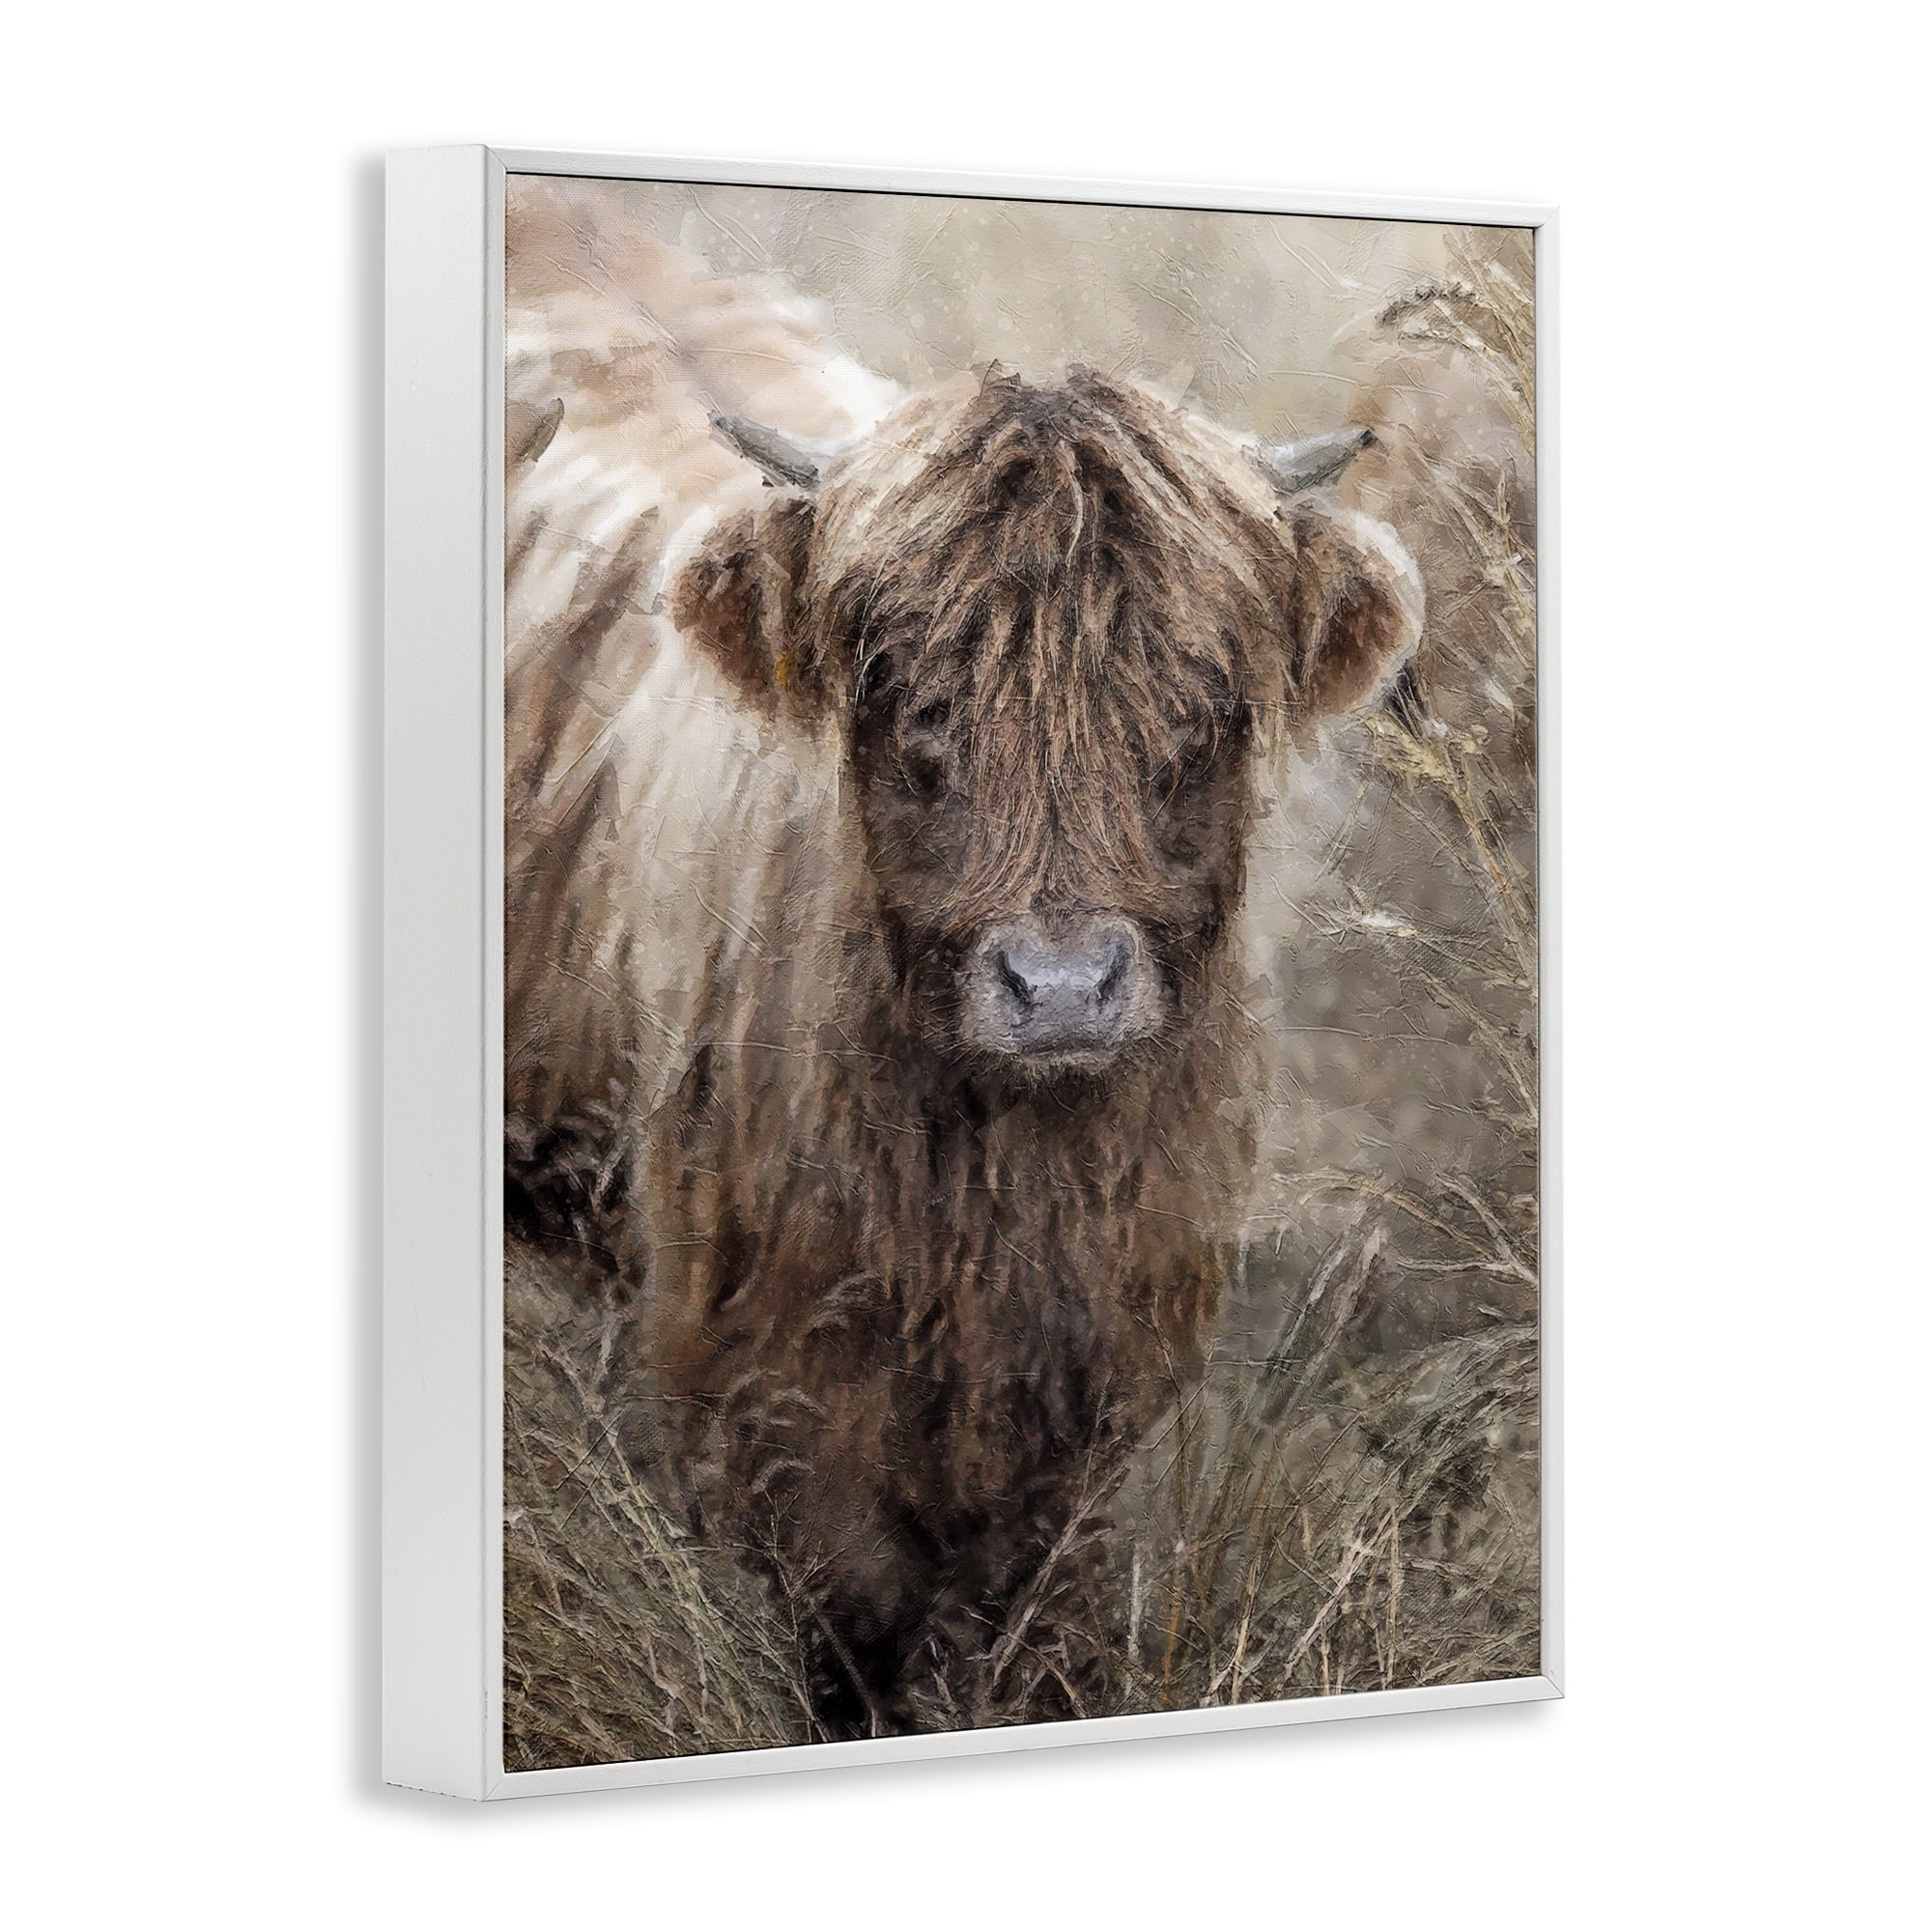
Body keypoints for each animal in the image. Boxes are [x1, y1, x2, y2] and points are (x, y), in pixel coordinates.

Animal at [502, 219, 1424, 1735]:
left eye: (1201, 713)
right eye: (911, 701)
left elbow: (1047, 1630)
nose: (1060, 986)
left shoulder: (1101, 1391)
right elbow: (849, 1632)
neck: (1002, 1188)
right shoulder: (763, 1384)